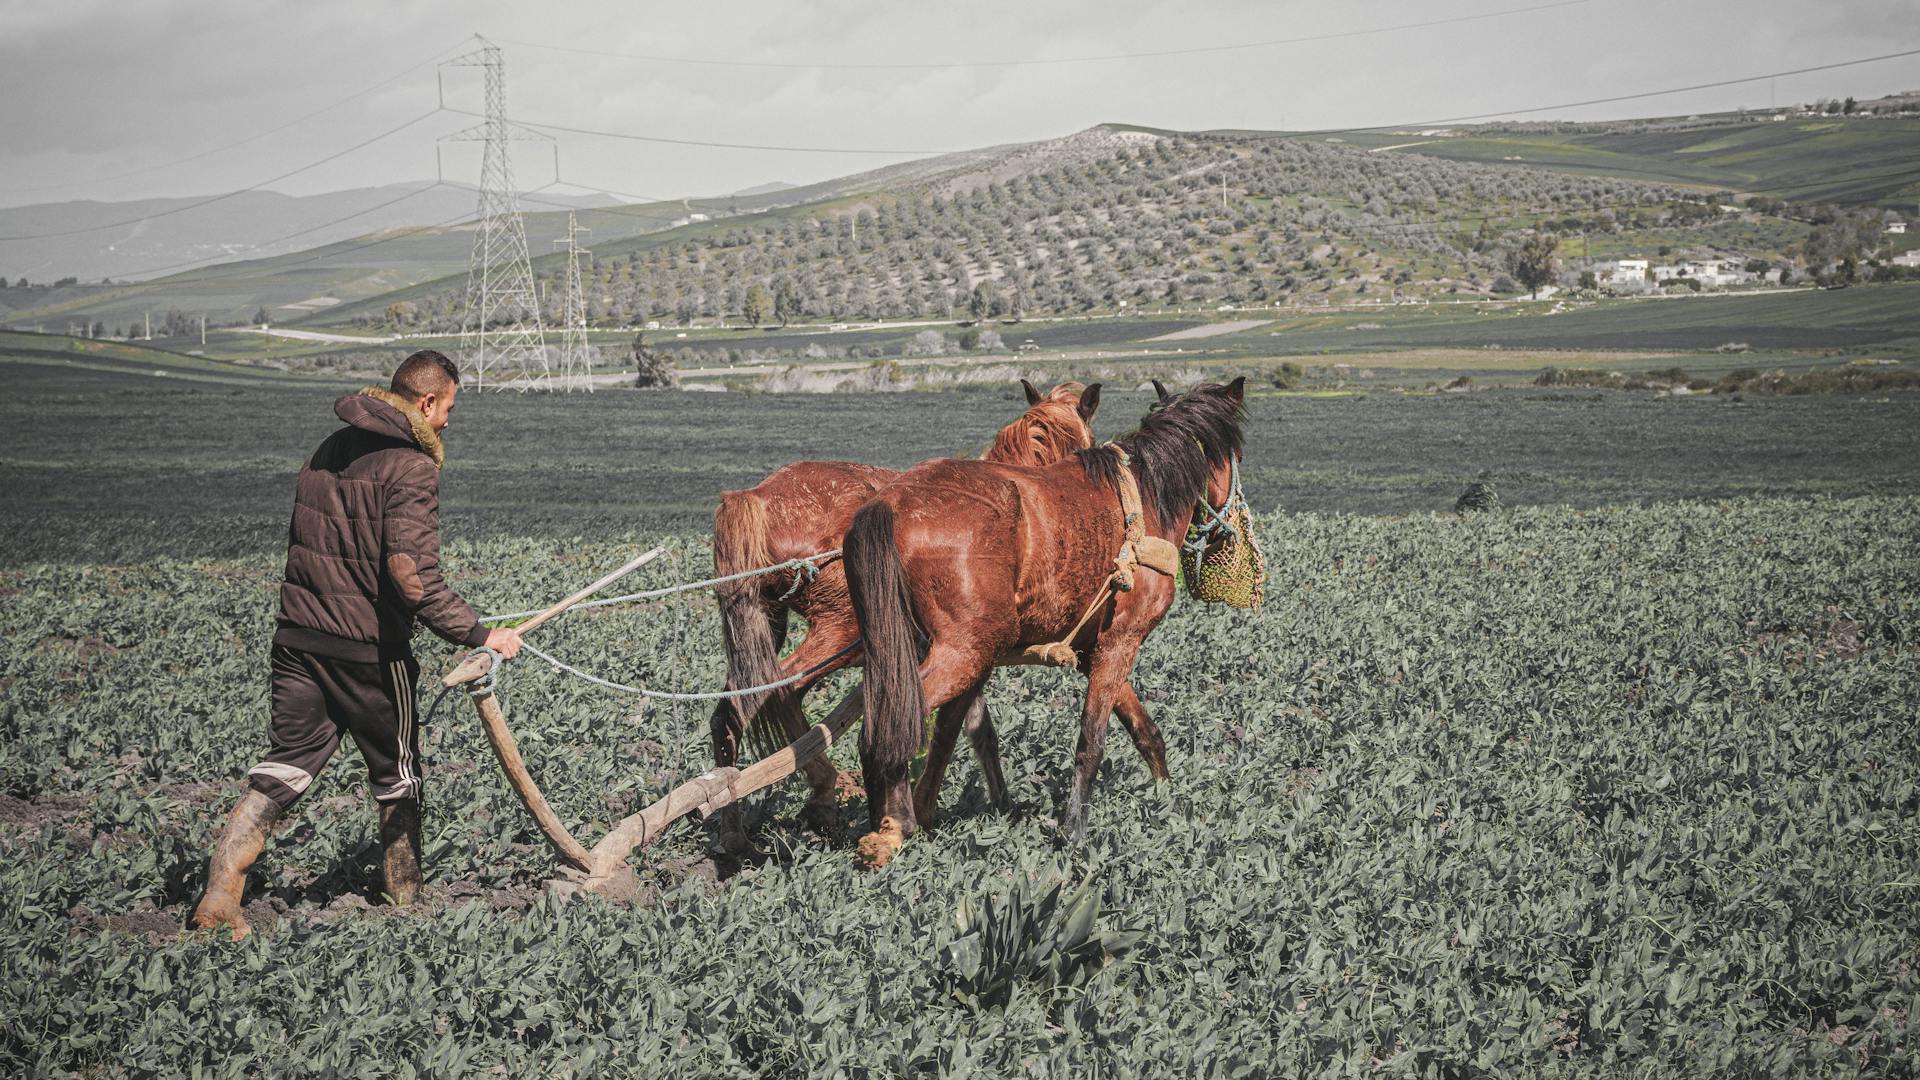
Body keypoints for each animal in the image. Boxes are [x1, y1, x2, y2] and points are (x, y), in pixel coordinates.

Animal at [714, 378, 1113, 822]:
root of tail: (757, 496)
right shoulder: (967, 647)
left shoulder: (962, 649)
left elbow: (976, 726)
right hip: (836, 633)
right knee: (776, 691)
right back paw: (821, 788)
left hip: (769, 628)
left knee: (734, 705)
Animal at [844, 374, 1244, 860]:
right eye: (1237, 455)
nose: (1228, 530)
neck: (1143, 497)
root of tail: (890, 502)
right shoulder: (1121, 641)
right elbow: (1091, 738)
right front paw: (1074, 830)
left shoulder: (1094, 648)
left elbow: (1142, 729)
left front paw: (1167, 799)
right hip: (964, 653)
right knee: (885, 727)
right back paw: (892, 826)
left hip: (914, 652)